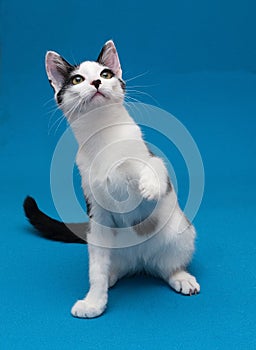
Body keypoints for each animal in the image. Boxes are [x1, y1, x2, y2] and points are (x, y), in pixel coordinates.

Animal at [23, 39, 200, 318]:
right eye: (77, 79)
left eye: (105, 74)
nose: (96, 82)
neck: (102, 134)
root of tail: (140, 261)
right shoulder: (97, 211)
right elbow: (96, 271)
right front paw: (94, 302)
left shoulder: (149, 158)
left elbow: (153, 166)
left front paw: (148, 184)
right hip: (99, 241)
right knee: (104, 268)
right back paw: (106, 283)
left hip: (181, 232)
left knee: (168, 266)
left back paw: (181, 277)